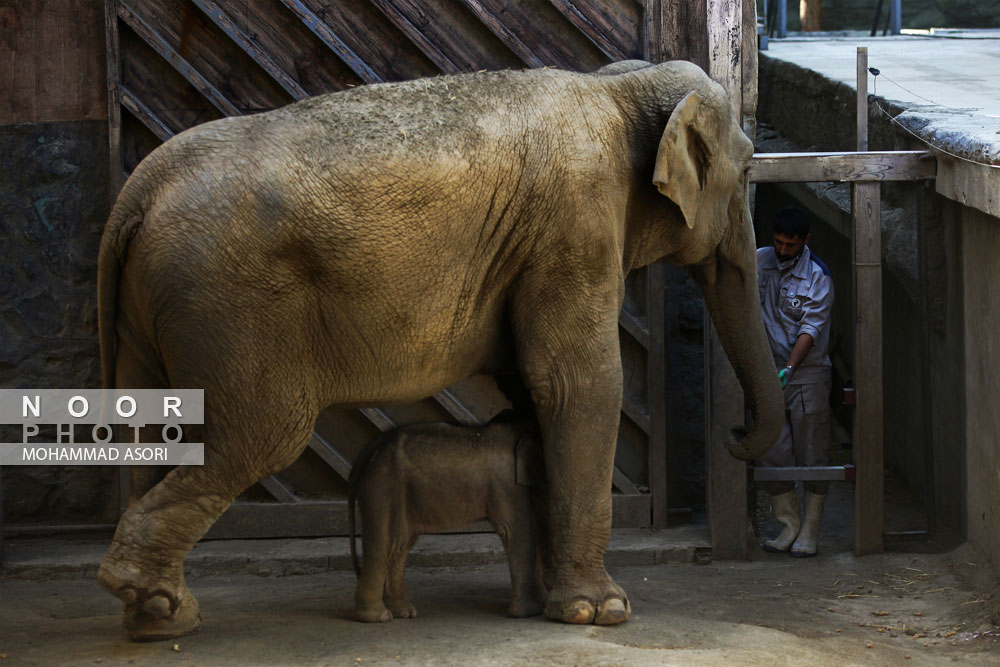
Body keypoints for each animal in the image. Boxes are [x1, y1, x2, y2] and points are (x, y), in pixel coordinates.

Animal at [348, 420, 544, 624]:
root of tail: (367, 452)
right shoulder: (507, 483)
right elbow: (519, 530)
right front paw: (530, 612)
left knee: (400, 543)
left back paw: (403, 612)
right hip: (382, 486)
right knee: (382, 543)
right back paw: (377, 617)